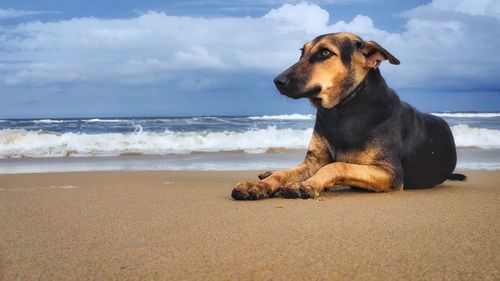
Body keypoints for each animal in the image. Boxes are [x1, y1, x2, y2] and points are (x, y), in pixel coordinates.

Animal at [232, 32, 466, 199]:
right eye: (301, 52)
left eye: (325, 53)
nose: (277, 81)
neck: (343, 110)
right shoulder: (313, 161)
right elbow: (285, 173)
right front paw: (258, 185)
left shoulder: (390, 173)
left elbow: (337, 165)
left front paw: (307, 184)